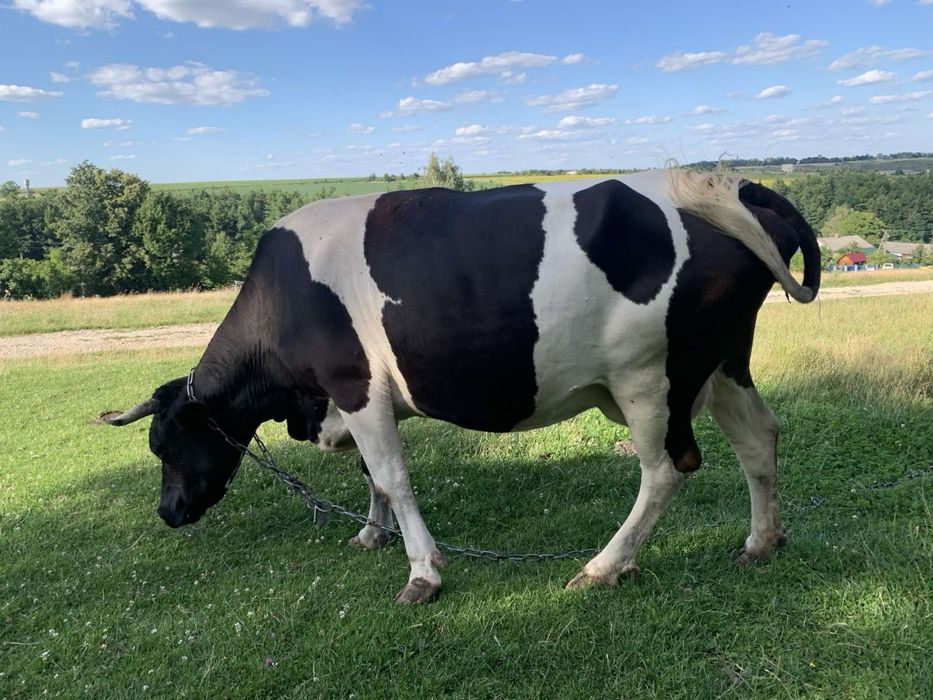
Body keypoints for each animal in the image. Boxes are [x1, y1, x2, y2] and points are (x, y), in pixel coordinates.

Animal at [102, 169, 820, 603]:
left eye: (166, 446)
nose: (168, 513)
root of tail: (731, 181)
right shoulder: (362, 402)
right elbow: (373, 476)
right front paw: (371, 535)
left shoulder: (355, 386)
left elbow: (393, 478)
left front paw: (421, 572)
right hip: (722, 364)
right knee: (758, 439)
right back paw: (761, 542)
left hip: (648, 377)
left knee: (668, 469)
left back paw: (603, 566)